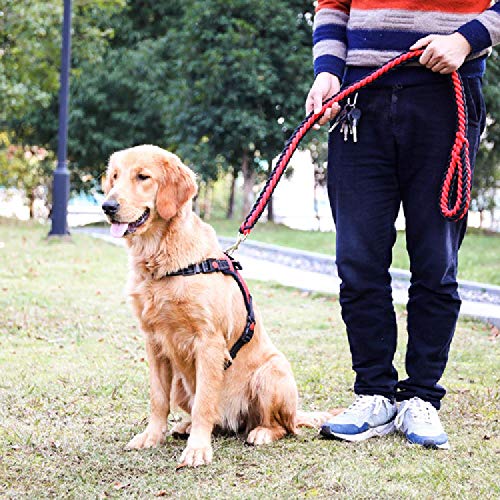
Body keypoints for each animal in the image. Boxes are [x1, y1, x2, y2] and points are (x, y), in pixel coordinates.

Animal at [101, 146, 334, 468]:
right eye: (114, 176)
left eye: (143, 177)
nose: (107, 206)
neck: (163, 261)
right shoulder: (153, 342)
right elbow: (158, 398)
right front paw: (152, 436)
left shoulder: (208, 342)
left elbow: (204, 403)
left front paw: (198, 449)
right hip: (181, 385)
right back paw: (185, 427)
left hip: (271, 372)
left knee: (283, 427)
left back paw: (261, 432)